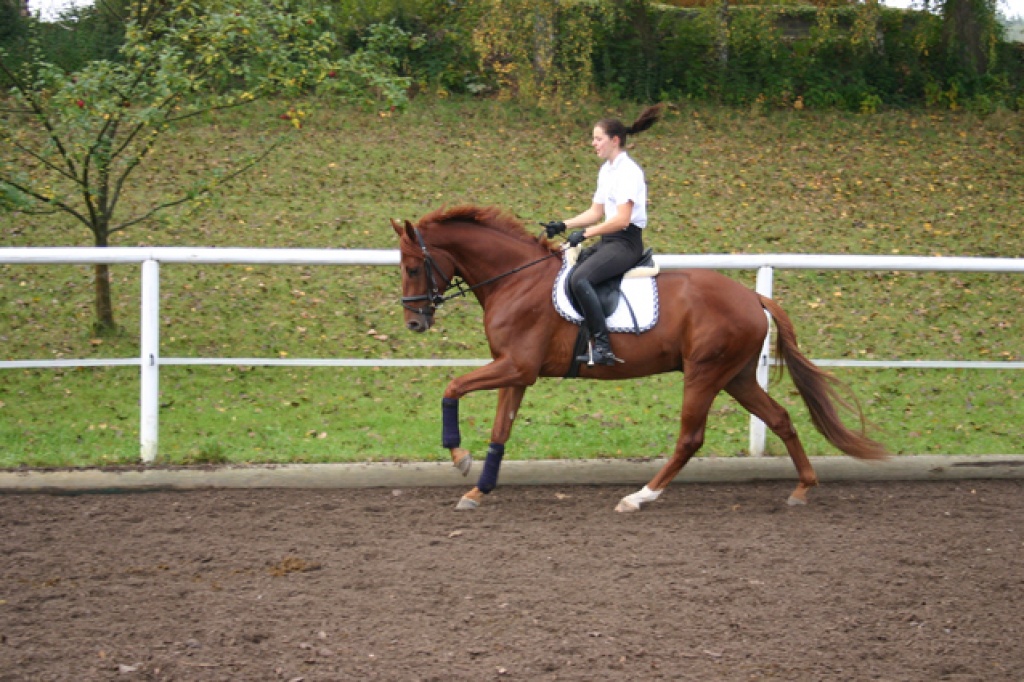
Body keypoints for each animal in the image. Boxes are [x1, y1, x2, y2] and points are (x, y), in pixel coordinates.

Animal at [391, 204, 888, 512]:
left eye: (413, 266)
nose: (414, 322)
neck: (515, 280)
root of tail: (752, 297)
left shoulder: (517, 366)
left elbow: (452, 387)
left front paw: (459, 457)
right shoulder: (516, 373)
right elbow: (500, 432)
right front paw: (479, 488)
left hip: (705, 373)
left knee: (690, 438)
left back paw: (640, 497)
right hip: (738, 376)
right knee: (781, 418)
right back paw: (803, 487)